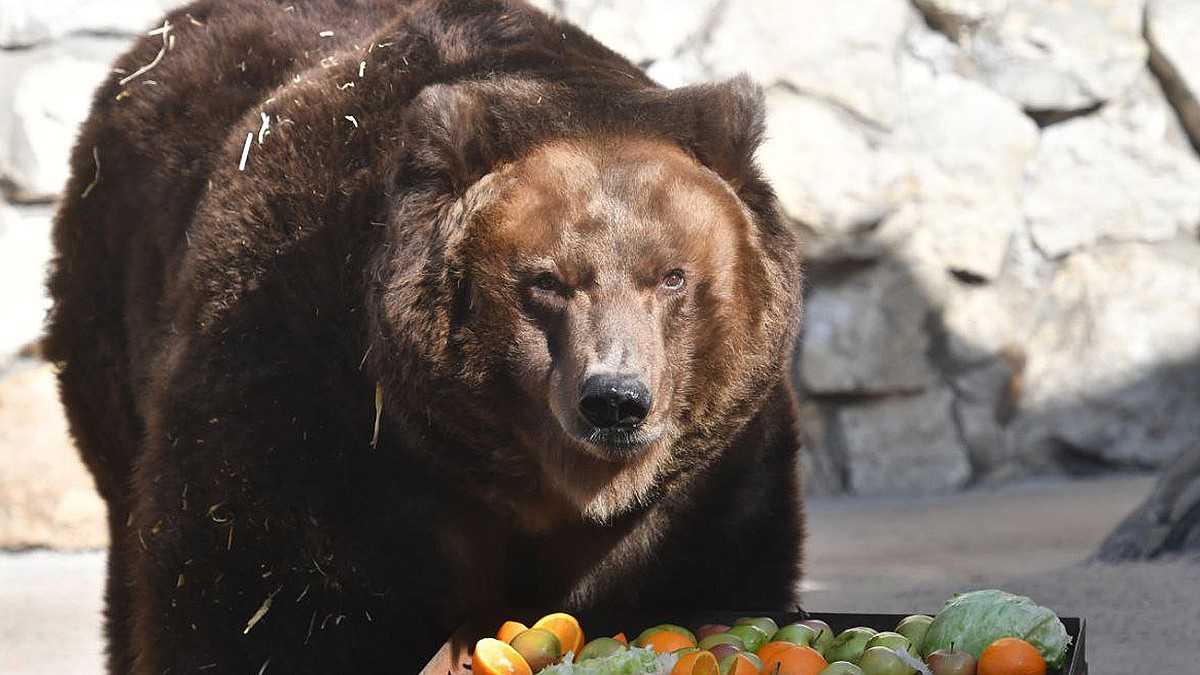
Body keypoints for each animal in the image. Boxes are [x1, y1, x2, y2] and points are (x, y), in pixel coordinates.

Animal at [44, 0, 806, 667]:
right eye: (547, 280)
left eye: (671, 277)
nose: (615, 399)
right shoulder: (313, 402)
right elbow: (259, 600)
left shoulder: (705, 483)